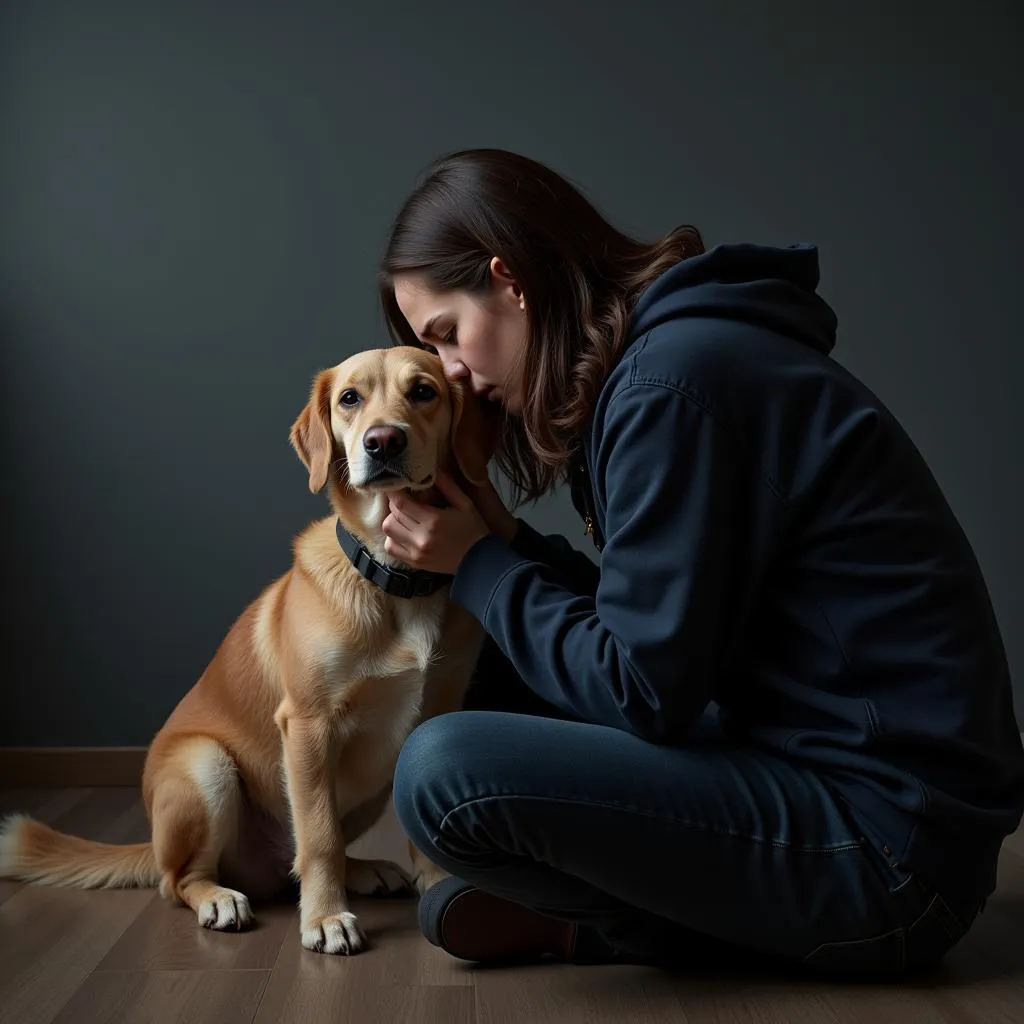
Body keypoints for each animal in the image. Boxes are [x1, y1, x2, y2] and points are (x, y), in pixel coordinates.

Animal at [0, 348, 487, 954]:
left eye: (424, 391)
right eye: (349, 399)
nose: (382, 442)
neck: (395, 578)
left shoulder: (433, 716)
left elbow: (412, 828)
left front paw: (439, 883)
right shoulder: (309, 725)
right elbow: (319, 836)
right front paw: (325, 918)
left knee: (291, 860)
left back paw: (364, 870)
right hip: (207, 768)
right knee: (181, 879)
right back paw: (219, 898)